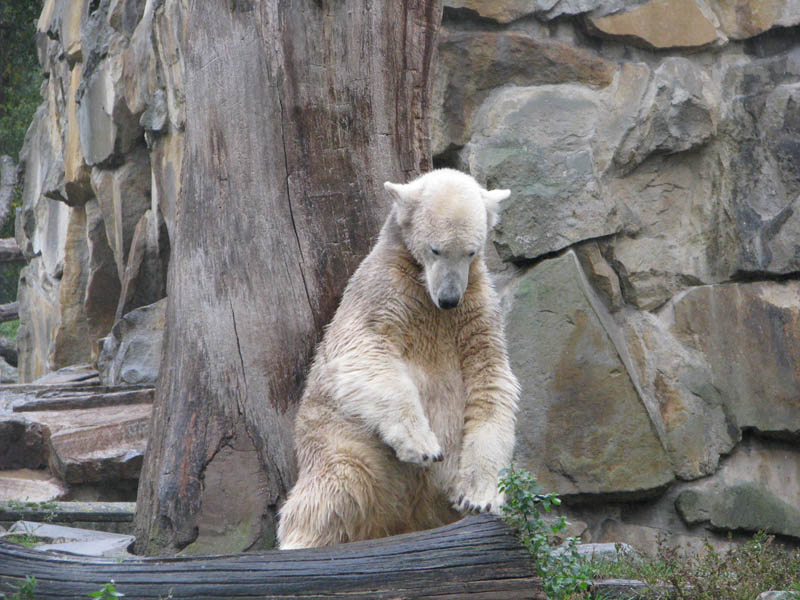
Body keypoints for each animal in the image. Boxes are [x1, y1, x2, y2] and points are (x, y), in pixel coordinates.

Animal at [278, 168, 520, 548]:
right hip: (344, 442)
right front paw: (423, 446)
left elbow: (491, 383)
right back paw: (301, 543)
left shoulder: (477, 311)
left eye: (471, 252)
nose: (449, 298)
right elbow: (365, 351)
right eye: (436, 249)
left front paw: (478, 497)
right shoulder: (384, 291)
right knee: (337, 486)